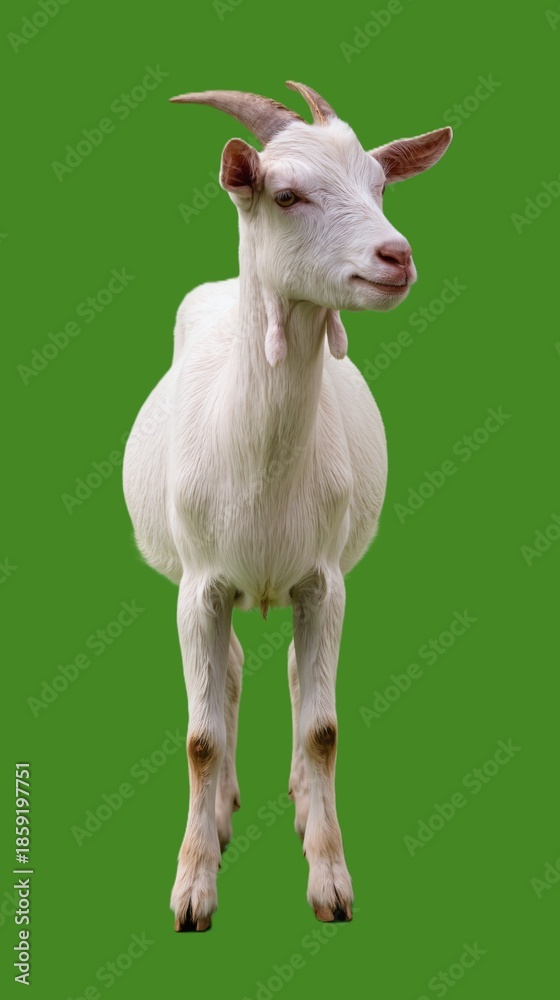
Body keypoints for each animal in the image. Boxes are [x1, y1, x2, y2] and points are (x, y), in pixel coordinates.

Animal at [123, 82, 452, 931]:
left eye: (379, 185)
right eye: (287, 194)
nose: (396, 257)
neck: (260, 471)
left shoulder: (323, 581)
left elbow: (323, 728)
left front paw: (330, 886)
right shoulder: (197, 585)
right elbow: (201, 739)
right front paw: (192, 893)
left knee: (299, 678)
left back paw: (302, 808)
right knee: (234, 674)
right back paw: (222, 813)